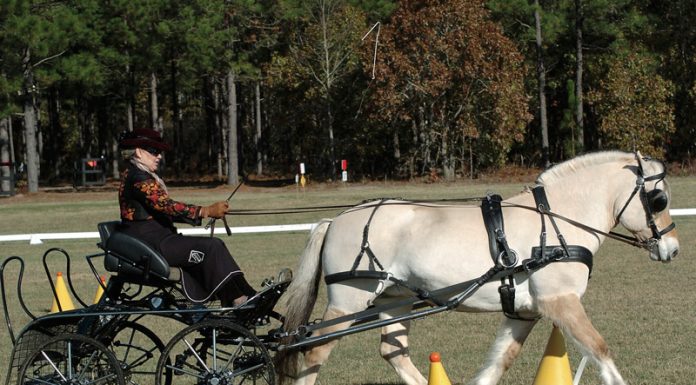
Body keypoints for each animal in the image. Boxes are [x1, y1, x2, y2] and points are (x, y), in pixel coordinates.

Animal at [278, 152, 680, 384]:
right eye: (658, 198)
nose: (673, 248)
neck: (555, 223)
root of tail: (335, 219)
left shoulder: (524, 312)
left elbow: (500, 362)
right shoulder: (561, 302)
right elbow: (600, 351)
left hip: (394, 300)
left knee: (394, 352)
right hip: (347, 302)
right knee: (314, 353)